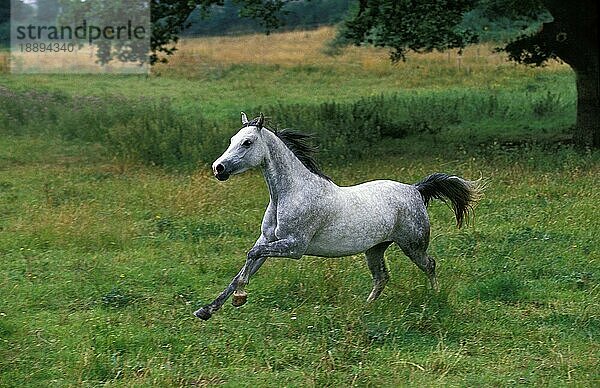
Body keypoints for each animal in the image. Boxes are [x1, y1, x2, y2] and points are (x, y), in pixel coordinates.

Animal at [195, 113, 486, 322]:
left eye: (247, 142)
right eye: (232, 139)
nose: (218, 168)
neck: (290, 194)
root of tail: (415, 189)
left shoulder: (294, 247)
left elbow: (250, 257)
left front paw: (240, 297)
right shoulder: (267, 241)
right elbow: (245, 265)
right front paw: (207, 310)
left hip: (412, 245)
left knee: (430, 265)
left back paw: (436, 297)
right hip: (375, 249)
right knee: (381, 278)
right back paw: (365, 309)